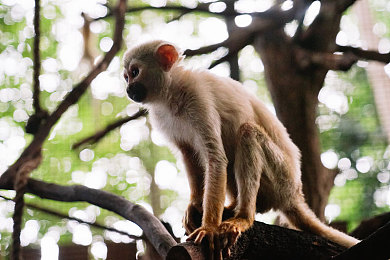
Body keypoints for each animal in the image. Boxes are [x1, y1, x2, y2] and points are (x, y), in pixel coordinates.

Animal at [122, 40, 360, 258]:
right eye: (126, 76)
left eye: (134, 73)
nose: (128, 89)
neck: (171, 92)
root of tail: (294, 194)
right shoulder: (162, 117)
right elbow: (188, 153)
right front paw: (194, 205)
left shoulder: (198, 98)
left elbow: (215, 157)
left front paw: (209, 228)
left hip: (281, 179)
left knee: (247, 133)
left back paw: (244, 216)